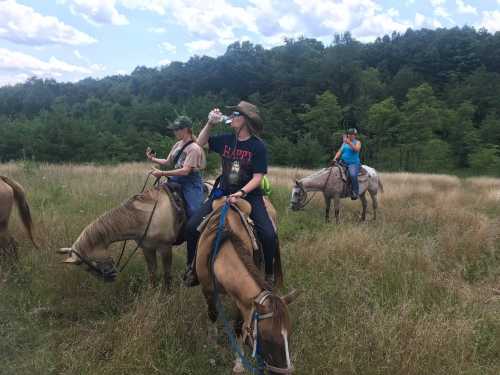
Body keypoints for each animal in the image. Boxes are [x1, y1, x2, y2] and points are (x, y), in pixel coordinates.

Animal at [57, 187, 186, 290]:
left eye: (90, 266)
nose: (110, 279)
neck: (144, 216)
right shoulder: (147, 248)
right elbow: (152, 272)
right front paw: (152, 290)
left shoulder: (165, 248)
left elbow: (167, 274)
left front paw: (168, 292)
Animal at [195, 198, 296, 374]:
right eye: (267, 338)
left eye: (288, 333)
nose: (285, 372)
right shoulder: (207, 290)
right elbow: (213, 314)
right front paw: (212, 344)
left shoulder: (241, 300)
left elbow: (238, 326)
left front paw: (238, 362)